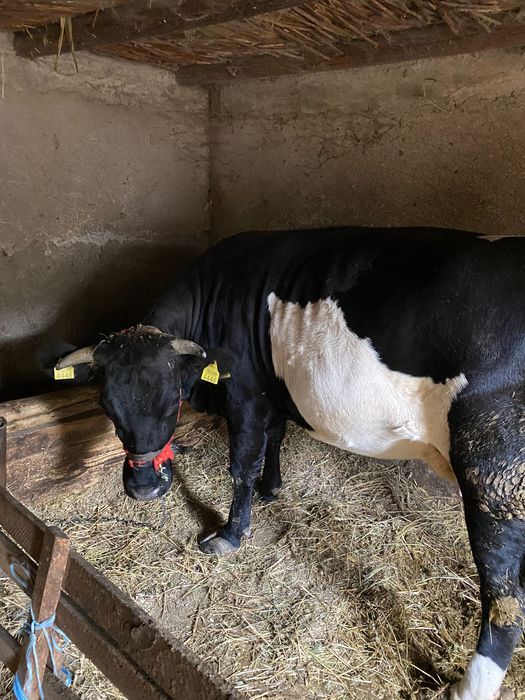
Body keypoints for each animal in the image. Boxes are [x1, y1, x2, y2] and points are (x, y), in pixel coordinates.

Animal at [55, 227, 524, 700]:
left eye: (173, 401)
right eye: (107, 406)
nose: (144, 486)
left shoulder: (244, 394)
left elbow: (242, 463)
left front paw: (230, 533)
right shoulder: (271, 392)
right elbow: (275, 438)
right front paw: (271, 488)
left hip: (493, 470)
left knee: (503, 594)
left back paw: (467, 688)